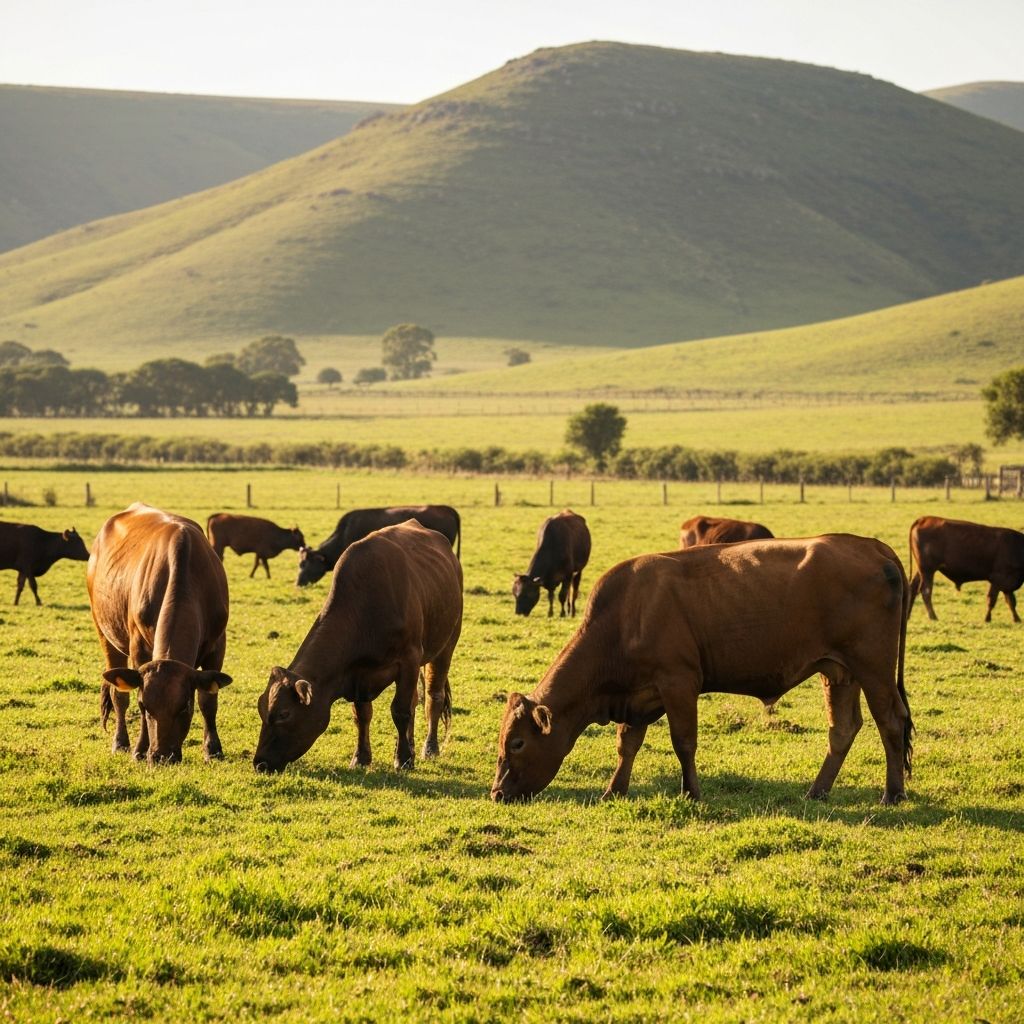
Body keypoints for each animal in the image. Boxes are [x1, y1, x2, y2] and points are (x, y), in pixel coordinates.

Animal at [89, 503, 232, 763]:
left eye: (184, 706)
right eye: (144, 706)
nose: (161, 756)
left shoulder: (218, 645)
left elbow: (208, 700)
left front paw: (213, 749)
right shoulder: (138, 647)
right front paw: (140, 748)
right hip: (105, 633)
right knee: (118, 695)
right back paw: (120, 742)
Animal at [256, 520, 463, 774]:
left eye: (284, 714)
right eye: (262, 708)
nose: (260, 762)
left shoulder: (409, 660)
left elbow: (401, 710)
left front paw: (403, 759)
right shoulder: (357, 674)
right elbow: (362, 715)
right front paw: (361, 757)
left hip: (445, 646)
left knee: (434, 696)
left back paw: (429, 748)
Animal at [492, 534, 912, 806]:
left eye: (517, 743)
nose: (497, 793)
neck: (625, 616)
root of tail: (871, 546)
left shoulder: (679, 684)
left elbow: (684, 742)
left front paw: (690, 792)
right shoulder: (638, 697)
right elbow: (627, 744)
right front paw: (614, 790)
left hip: (873, 668)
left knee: (890, 722)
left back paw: (891, 794)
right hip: (839, 672)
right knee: (842, 729)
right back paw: (817, 791)